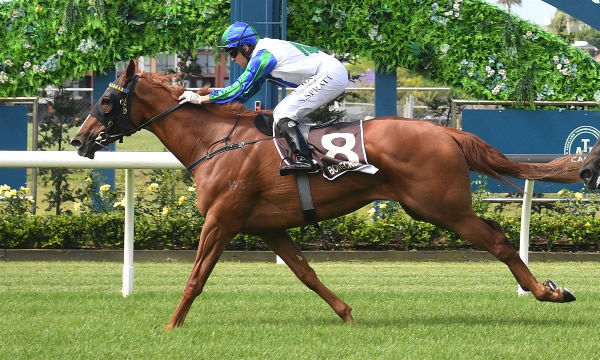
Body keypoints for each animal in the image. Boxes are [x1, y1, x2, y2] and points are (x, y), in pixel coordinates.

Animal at [71, 60, 580, 328]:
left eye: (107, 101)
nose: (79, 139)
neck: (216, 142)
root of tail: (448, 133)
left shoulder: (221, 220)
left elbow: (196, 277)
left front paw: (172, 325)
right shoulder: (268, 227)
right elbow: (306, 273)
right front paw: (347, 314)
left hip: (441, 208)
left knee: (496, 239)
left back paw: (546, 292)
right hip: (435, 208)